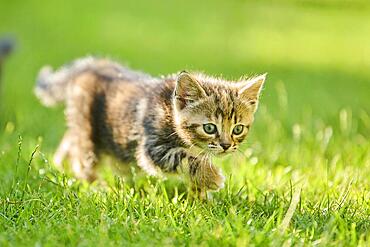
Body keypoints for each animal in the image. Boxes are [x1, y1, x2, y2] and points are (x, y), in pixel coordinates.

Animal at [34, 56, 266, 199]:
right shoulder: (152, 148)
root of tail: (94, 65)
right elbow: (185, 158)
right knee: (83, 162)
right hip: (88, 133)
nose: (226, 145)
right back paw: (97, 188)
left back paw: (58, 163)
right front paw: (212, 178)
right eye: (209, 128)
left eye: (237, 129)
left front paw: (200, 196)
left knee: (69, 140)